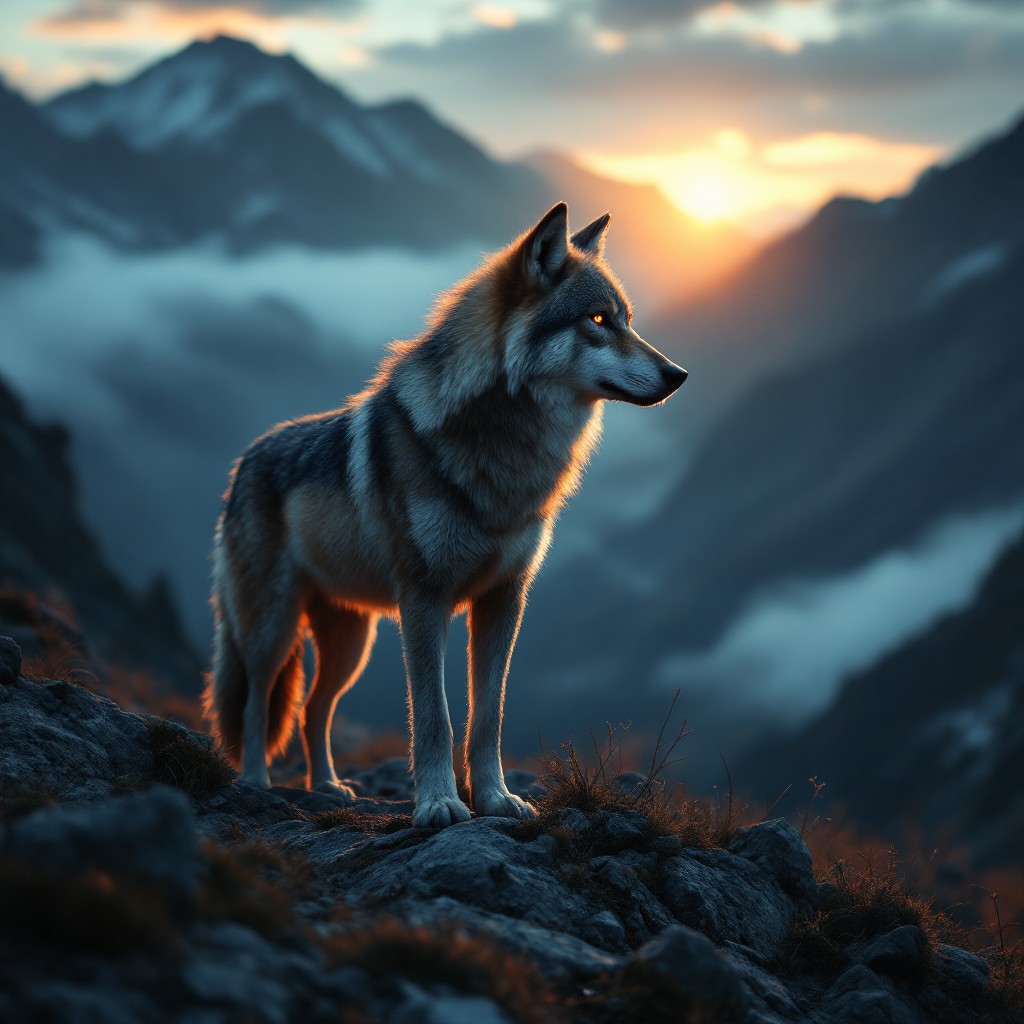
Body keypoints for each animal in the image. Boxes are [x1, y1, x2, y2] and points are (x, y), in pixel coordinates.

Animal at [204, 203, 687, 828]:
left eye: (627, 321)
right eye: (599, 320)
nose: (678, 374)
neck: (504, 448)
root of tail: (244, 460)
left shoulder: (505, 598)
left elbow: (487, 716)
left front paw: (496, 799)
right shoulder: (424, 599)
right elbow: (434, 716)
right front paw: (438, 802)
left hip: (351, 644)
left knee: (314, 709)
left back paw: (328, 786)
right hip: (273, 629)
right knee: (259, 702)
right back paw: (257, 782)